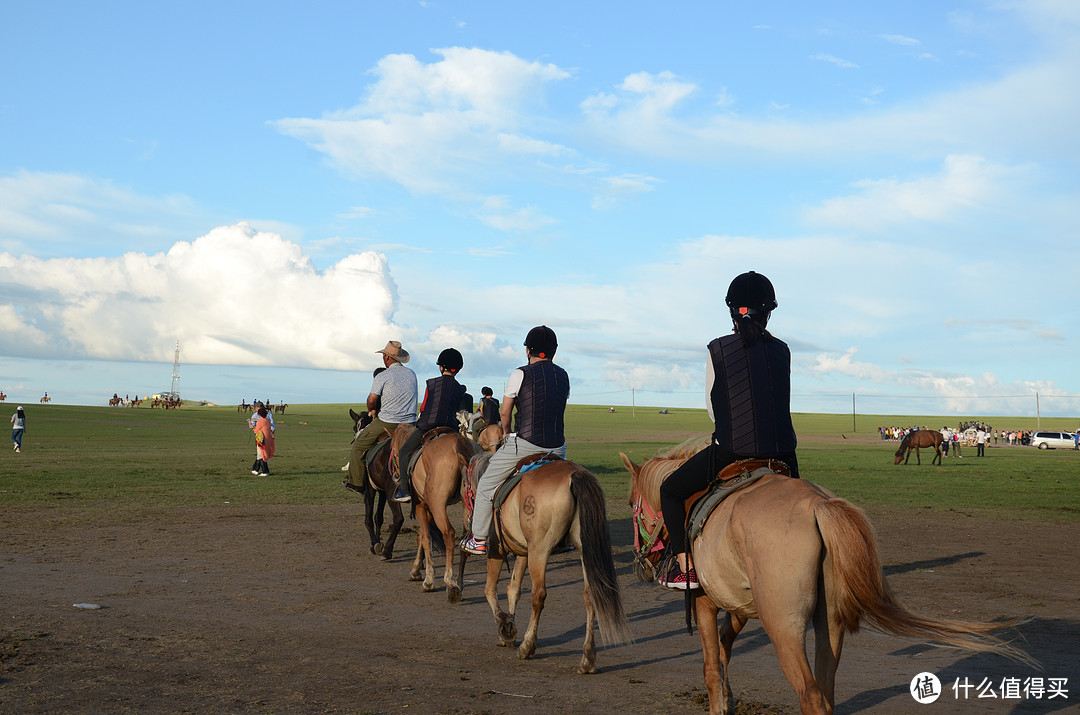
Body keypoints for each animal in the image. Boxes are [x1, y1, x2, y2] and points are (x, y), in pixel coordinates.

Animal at [349, 408, 408, 561]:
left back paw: (387, 551)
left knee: (398, 518)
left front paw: (374, 544)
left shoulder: (370, 489)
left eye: (354, 427)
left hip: (392, 491)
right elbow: (378, 517)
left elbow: (368, 518)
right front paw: (377, 542)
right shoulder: (382, 491)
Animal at [386, 425, 475, 604]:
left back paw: (450, 583)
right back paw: (459, 583)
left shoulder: (421, 506)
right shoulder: (426, 508)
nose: (396, 476)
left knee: (449, 533)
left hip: (438, 505)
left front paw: (428, 580)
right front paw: (416, 571)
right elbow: (421, 535)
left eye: (392, 450)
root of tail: (458, 444)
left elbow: (426, 538)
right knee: (464, 540)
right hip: (468, 505)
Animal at [457, 462, 630, 673]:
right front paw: (509, 626)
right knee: (590, 596)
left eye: (464, 486)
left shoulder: (497, 550)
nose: (466, 520)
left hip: (540, 550)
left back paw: (527, 646)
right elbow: (513, 589)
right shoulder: (523, 553)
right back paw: (588, 658)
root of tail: (573, 474)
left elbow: (490, 590)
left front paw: (505, 627)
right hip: (582, 549)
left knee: (538, 595)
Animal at [630, 442, 1032, 715]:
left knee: (810, 693)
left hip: (783, 625)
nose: (641, 564)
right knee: (826, 690)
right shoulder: (738, 602)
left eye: (632, 505)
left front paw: (720, 702)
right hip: (830, 622)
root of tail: (816, 504)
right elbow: (726, 647)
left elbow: (712, 664)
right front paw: (729, 695)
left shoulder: (704, 601)